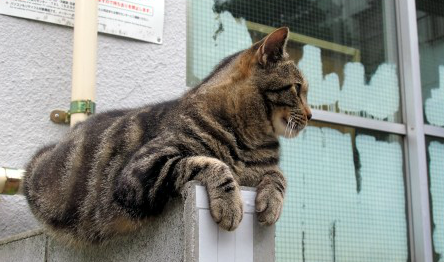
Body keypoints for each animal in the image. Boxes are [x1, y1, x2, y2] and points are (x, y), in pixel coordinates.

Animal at [22, 27, 310, 245]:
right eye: (297, 88)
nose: (310, 115)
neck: (252, 140)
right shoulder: (141, 171)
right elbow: (212, 164)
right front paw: (230, 203)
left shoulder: (263, 170)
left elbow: (278, 176)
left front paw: (272, 202)